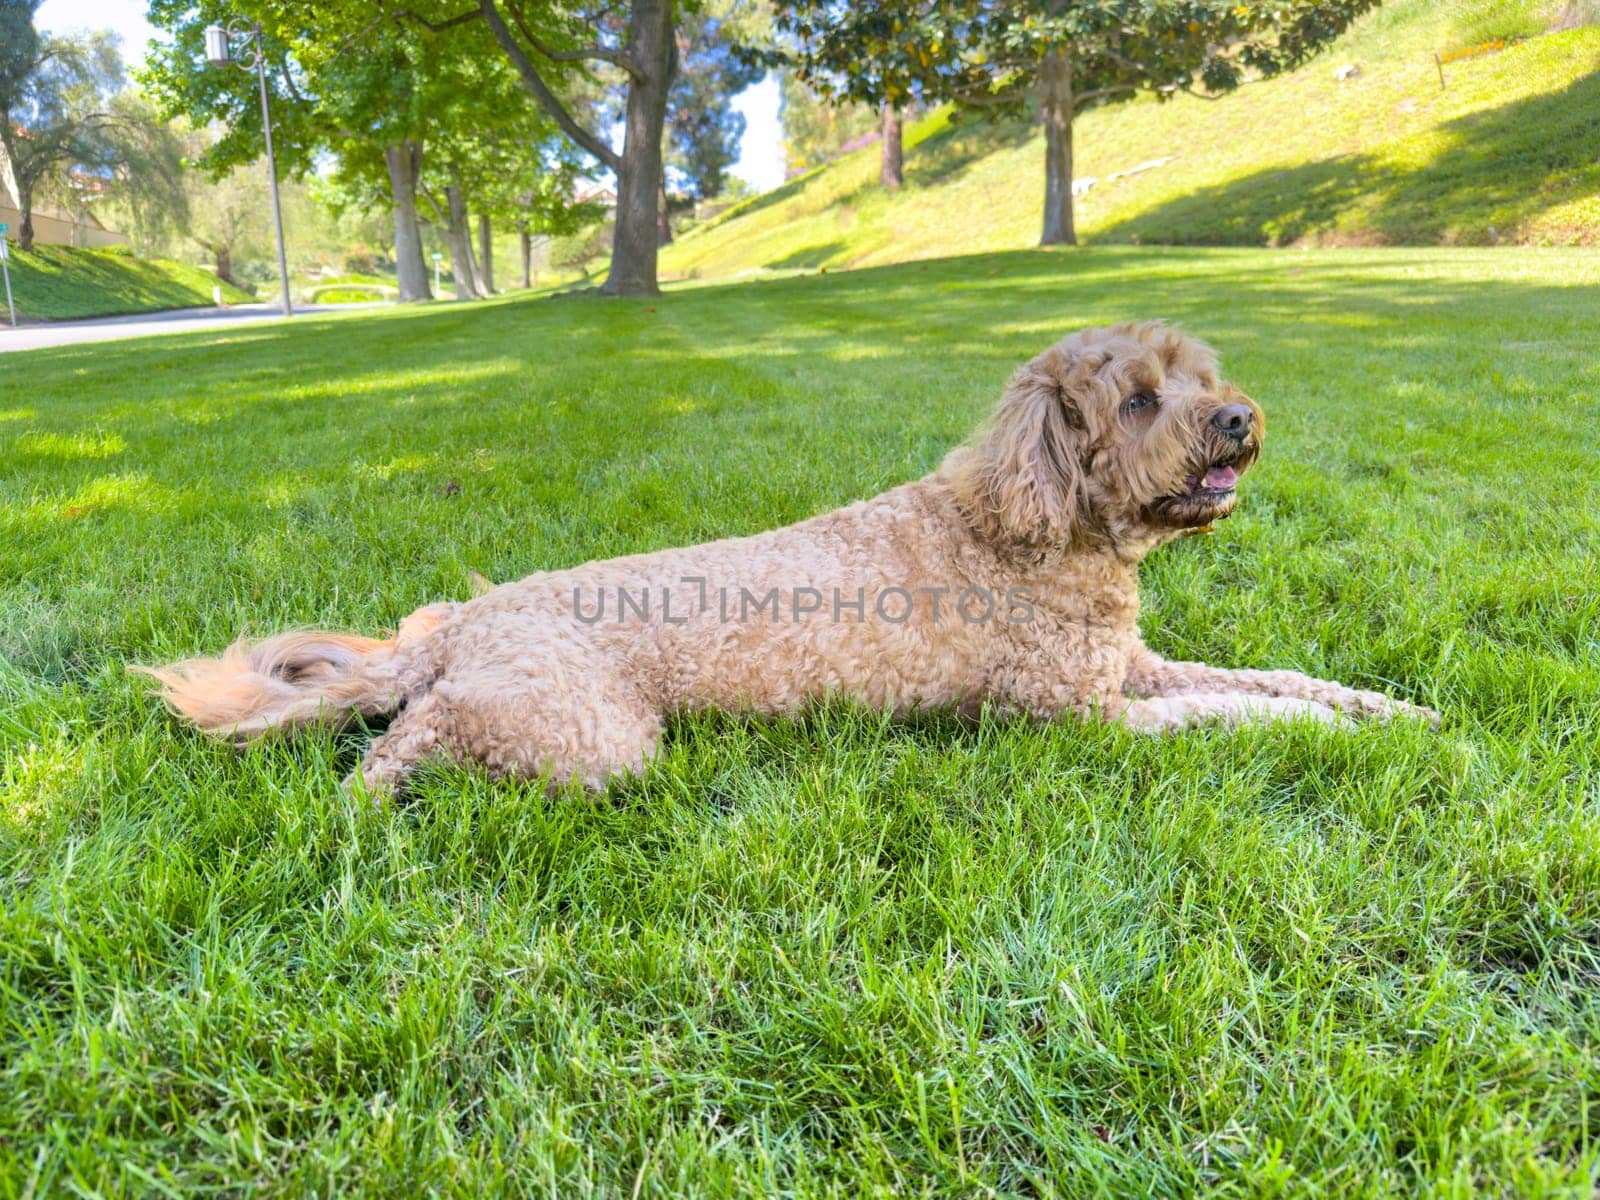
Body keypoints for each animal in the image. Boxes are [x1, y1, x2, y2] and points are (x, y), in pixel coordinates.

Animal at [140, 324, 1440, 793]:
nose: (1237, 420)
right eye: (1134, 399)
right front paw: (1337, 739)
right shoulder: (1070, 716)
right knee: (416, 735)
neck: (1037, 527)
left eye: (1203, 375)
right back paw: (369, 799)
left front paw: (1393, 711)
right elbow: (1240, 715)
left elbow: (1276, 679)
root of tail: (467, 627)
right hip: (588, 734)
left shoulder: (1133, 669)